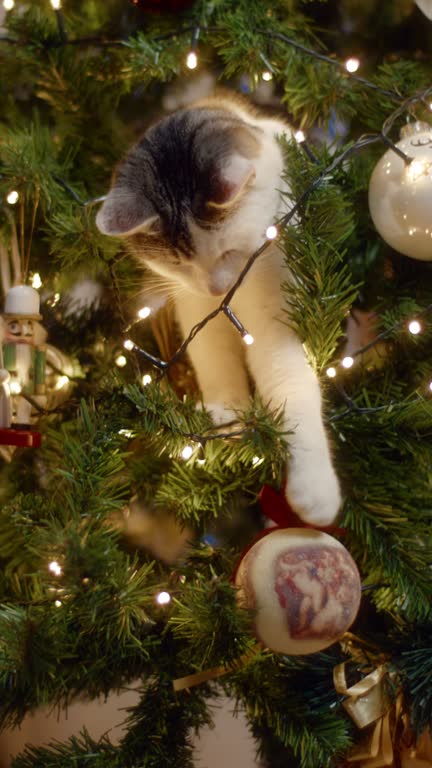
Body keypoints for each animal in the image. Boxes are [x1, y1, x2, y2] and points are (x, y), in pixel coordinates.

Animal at [97, 96, 340, 524]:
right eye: (179, 264)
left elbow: (290, 383)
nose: (215, 288)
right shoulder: (196, 310)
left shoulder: (274, 314)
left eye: (227, 251)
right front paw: (228, 417)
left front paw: (315, 490)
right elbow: (215, 362)